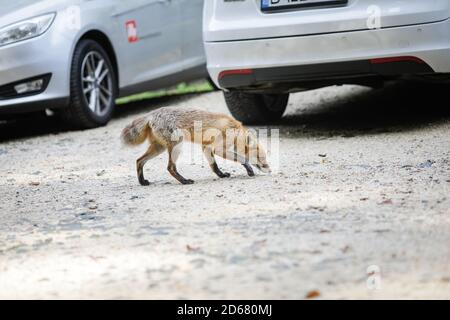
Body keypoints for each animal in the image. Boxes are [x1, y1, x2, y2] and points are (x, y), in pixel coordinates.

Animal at [120, 107, 270, 185]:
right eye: (261, 159)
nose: (270, 170)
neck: (235, 129)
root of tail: (152, 113)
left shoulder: (206, 147)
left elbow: (214, 166)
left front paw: (221, 175)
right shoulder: (218, 148)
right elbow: (243, 159)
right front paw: (249, 169)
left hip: (159, 148)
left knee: (139, 160)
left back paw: (142, 182)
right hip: (176, 146)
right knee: (170, 167)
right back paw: (184, 181)